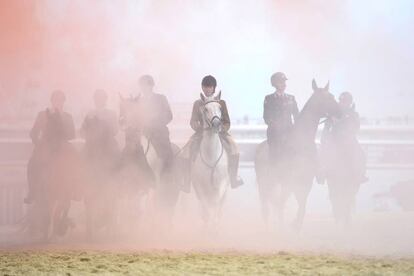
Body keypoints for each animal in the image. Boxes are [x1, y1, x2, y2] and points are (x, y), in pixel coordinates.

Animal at [192, 91, 230, 230]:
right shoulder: (200, 187)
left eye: (220, 108)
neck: (211, 157)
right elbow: (206, 212)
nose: (217, 124)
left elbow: (216, 210)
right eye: (205, 109)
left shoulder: (221, 186)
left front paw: (214, 228)